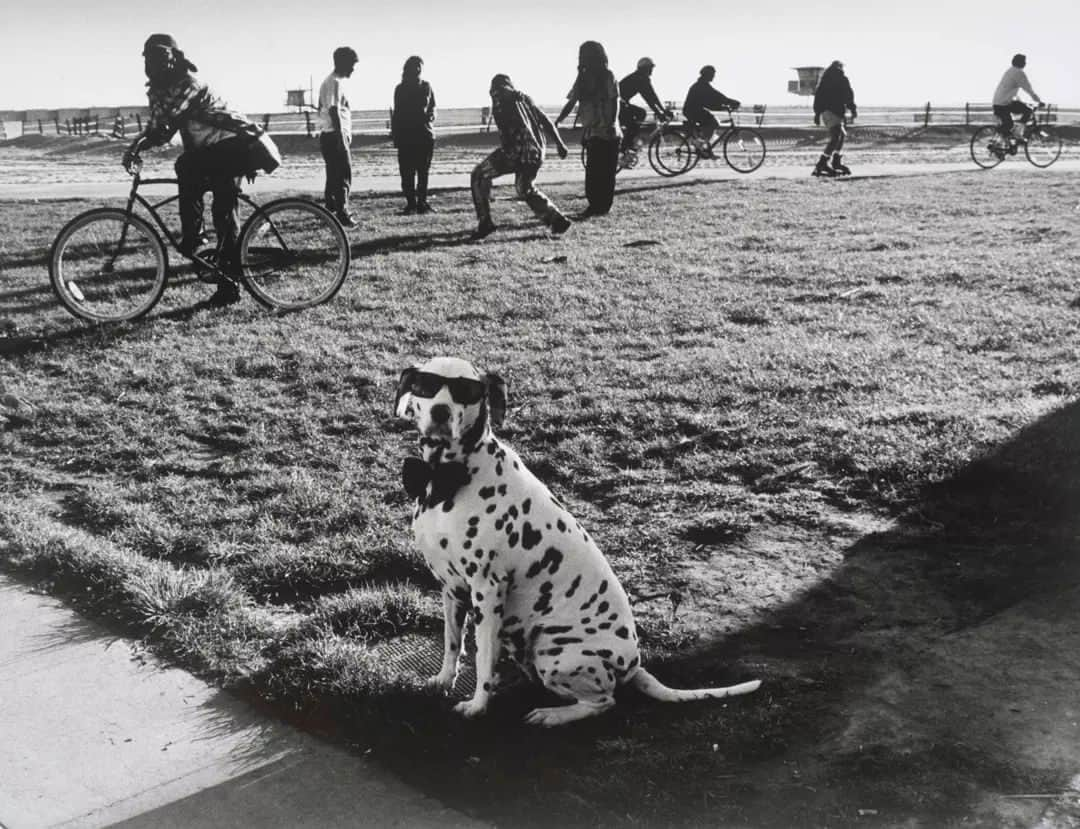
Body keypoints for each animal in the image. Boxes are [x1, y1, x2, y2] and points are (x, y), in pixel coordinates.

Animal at [395, 356, 760, 725]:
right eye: (426, 386)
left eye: (466, 391)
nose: (441, 411)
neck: (447, 479)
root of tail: (635, 666)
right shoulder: (451, 588)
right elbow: (452, 642)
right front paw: (444, 680)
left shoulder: (487, 591)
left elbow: (483, 659)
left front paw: (477, 706)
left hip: (553, 650)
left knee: (603, 702)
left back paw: (551, 715)